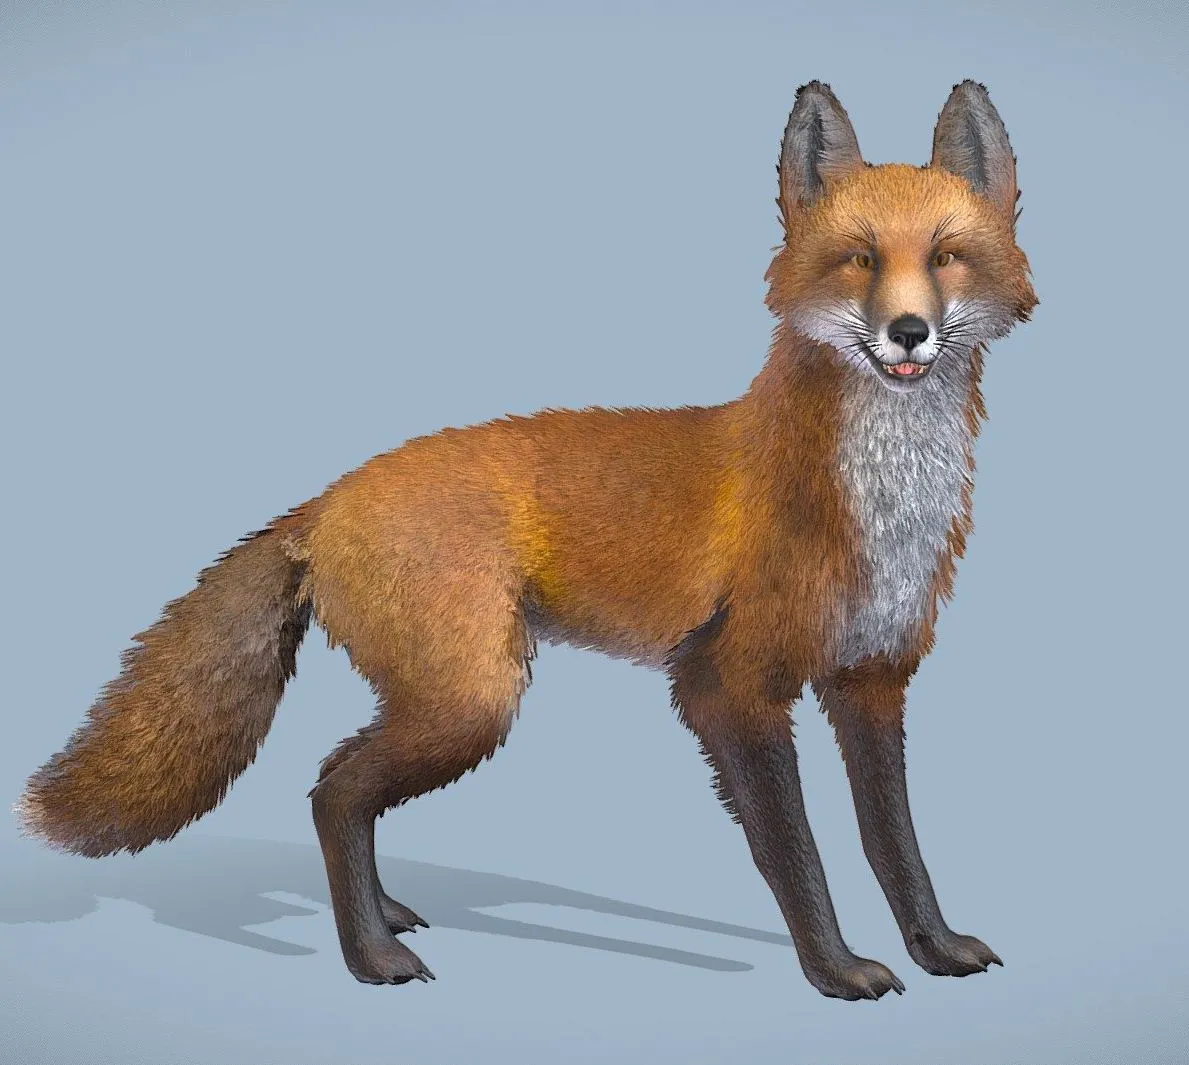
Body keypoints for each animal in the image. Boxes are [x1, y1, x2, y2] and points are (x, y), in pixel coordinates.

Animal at [16, 80, 1036, 1000]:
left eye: (945, 257)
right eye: (858, 258)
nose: (908, 332)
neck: (875, 508)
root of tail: (324, 500)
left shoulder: (871, 678)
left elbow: (895, 842)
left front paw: (934, 946)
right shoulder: (726, 684)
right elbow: (798, 853)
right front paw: (834, 970)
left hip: (452, 697)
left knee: (336, 780)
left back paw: (383, 915)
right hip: (474, 699)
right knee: (332, 789)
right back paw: (372, 957)